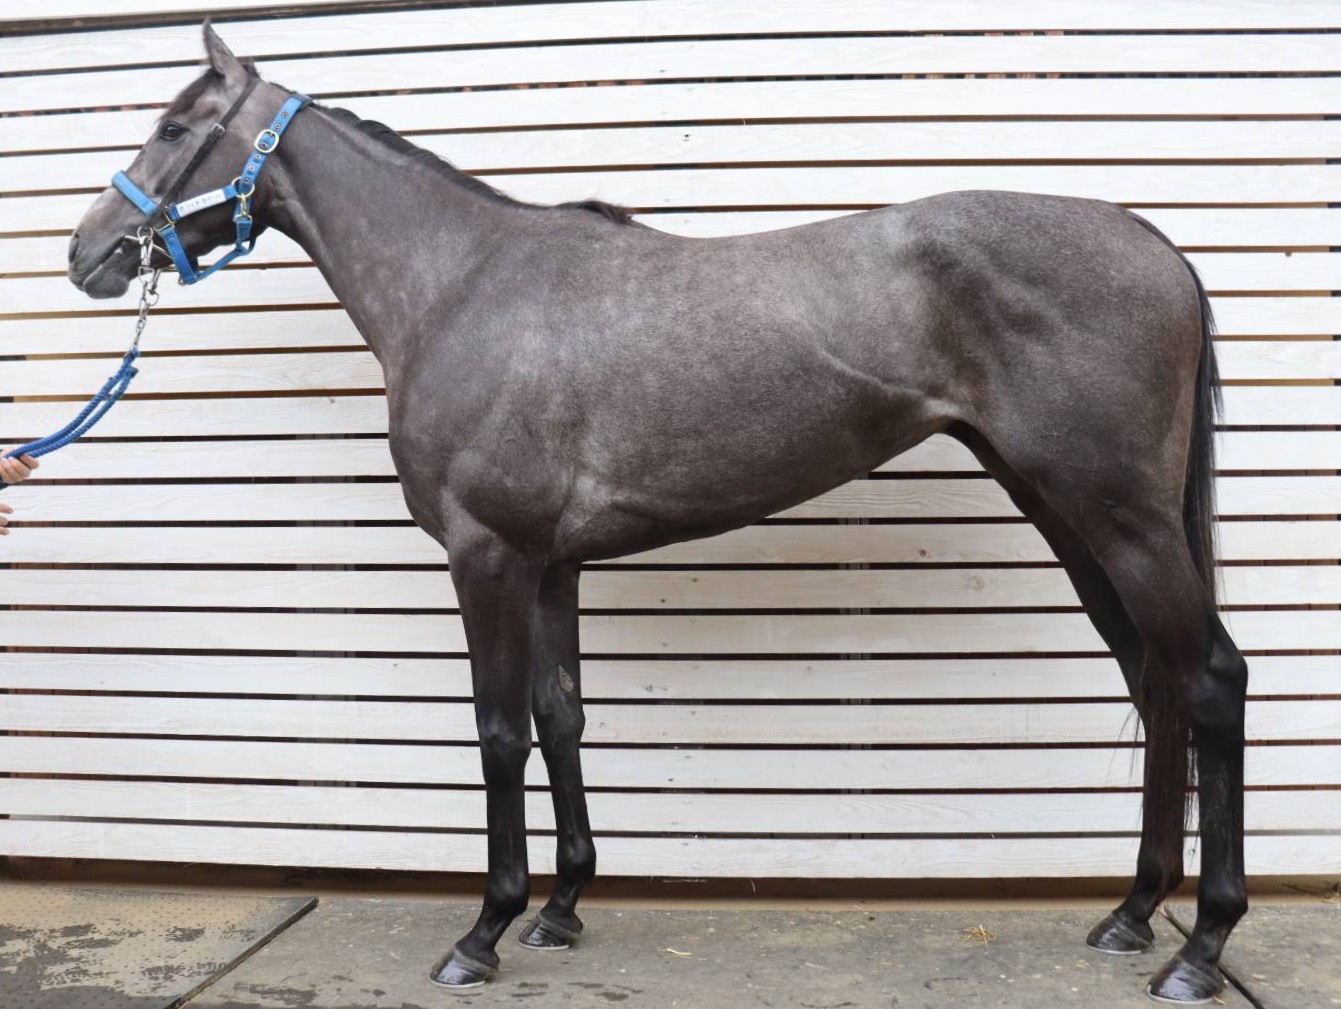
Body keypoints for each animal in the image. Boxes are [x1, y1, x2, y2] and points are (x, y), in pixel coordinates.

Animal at [67, 24, 1248, 1004]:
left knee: (1208, 678)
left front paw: (483, 931)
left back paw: (1198, 949)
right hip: (1064, 510)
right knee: (1153, 678)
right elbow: (561, 716)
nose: (87, 253)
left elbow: (498, 730)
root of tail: (1152, 243)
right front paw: (559, 909)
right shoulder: (550, 564)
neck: (464, 286)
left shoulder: (487, 556)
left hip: (1121, 515)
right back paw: (1132, 912)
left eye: (173, 126)